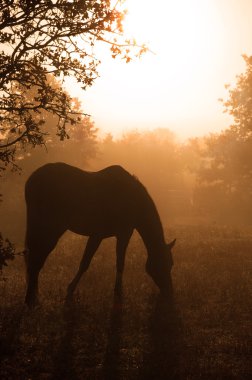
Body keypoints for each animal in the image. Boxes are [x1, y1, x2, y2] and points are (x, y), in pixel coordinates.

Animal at [24, 163, 176, 306]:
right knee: (37, 257)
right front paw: (71, 289)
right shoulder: (105, 235)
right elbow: (88, 263)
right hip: (52, 229)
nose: (169, 292)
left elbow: (116, 263)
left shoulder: (115, 235)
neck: (131, 199)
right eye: (163, 263)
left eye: (171, 264)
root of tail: (32, 179)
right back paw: (31, 299)